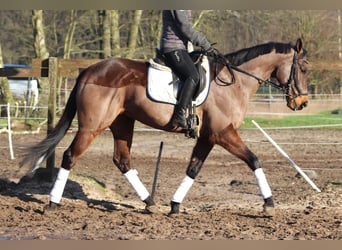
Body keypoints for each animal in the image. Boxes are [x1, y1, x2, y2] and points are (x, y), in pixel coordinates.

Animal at [21, 38, 310, 216]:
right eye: (305, 68)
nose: (303, 103)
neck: (235, 82)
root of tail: (89, 71)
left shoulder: (207, 137)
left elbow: (193, 169)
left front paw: (174, 205)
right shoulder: (223, 133)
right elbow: (254, 160)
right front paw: (269, 204)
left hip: (122, 124)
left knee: (122, 160)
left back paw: (150, 202)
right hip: (92, 127)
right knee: (70, 156)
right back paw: (53, 203)